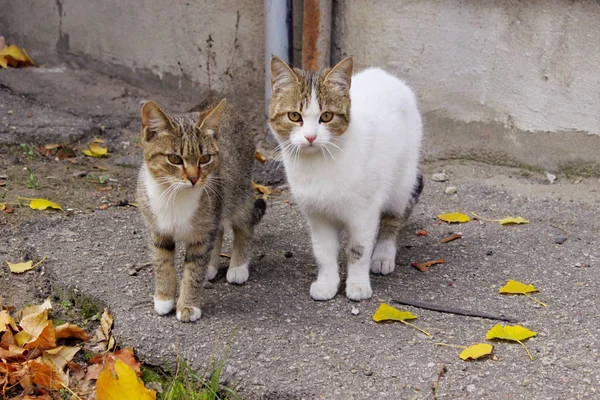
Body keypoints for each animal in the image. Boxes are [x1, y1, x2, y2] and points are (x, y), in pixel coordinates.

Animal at [139, 99, 266, 322]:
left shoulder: (203, 233)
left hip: (237, 194)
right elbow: (162, 262)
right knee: (220, 229)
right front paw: (164, 297)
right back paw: (212, 266)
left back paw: (238, 267)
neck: (175, 195)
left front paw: (188, 305)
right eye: (175, 158)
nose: (193, 178)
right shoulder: (158, 230)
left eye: (205, 158)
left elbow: (193, 270)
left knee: (245, 224)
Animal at [270, 56, 424, 300]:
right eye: (294, 116)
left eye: (326, 116)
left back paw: (383, 254)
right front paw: (327, 283)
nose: (310, 137)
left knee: (393, 219)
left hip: (402, 181)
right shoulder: (318, 216)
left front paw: (358, 284)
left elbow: (358, 250)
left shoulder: (365, 213)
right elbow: (323, 252)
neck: (318, 165)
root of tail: (383, 74)